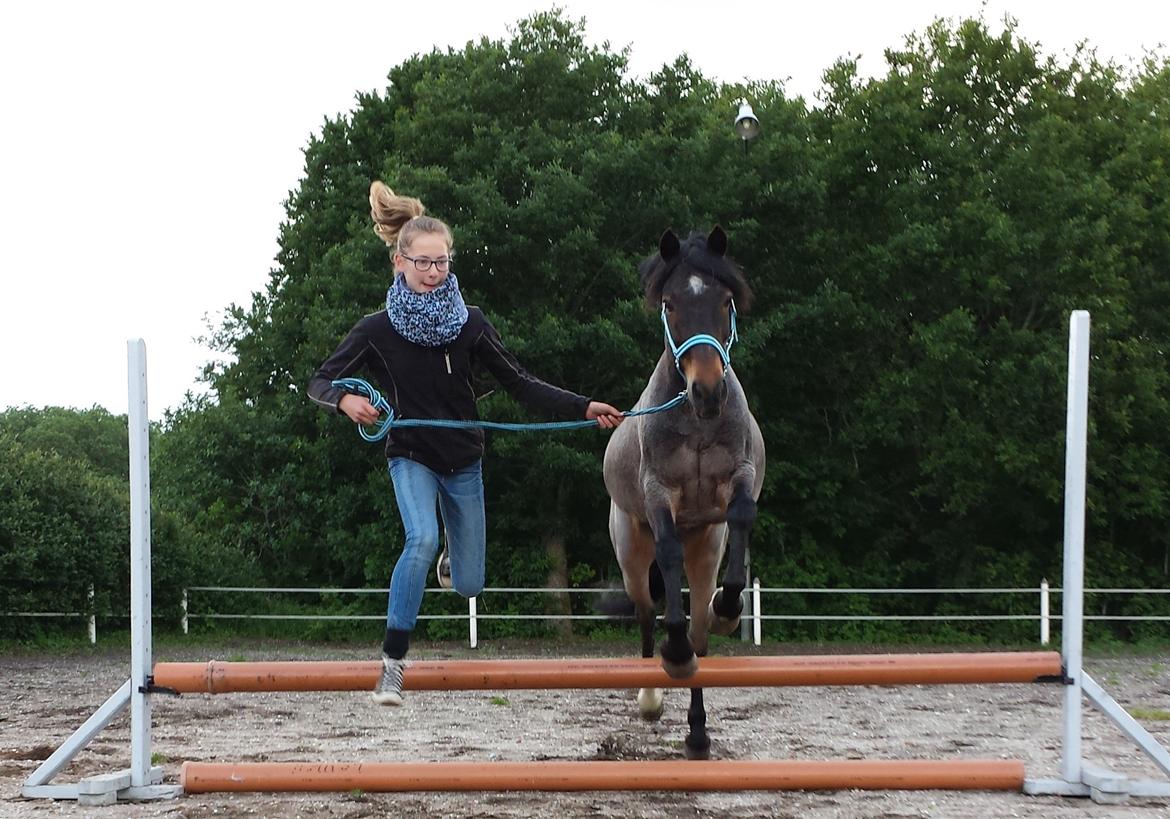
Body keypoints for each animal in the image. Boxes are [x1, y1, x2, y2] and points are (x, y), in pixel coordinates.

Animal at [603, 225, 767, 762]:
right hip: (632, 557)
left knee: (697, 631)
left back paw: (697, 734)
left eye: (725, 301)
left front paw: (728, 609)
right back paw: (652, 694)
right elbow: (668, 553)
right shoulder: (660, 496)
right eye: (670, 303)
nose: (708, 393)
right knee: (647, 613)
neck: (697, 424)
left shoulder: (738, 478)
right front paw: (671, 657)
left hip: (705, 551)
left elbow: (741, 517)